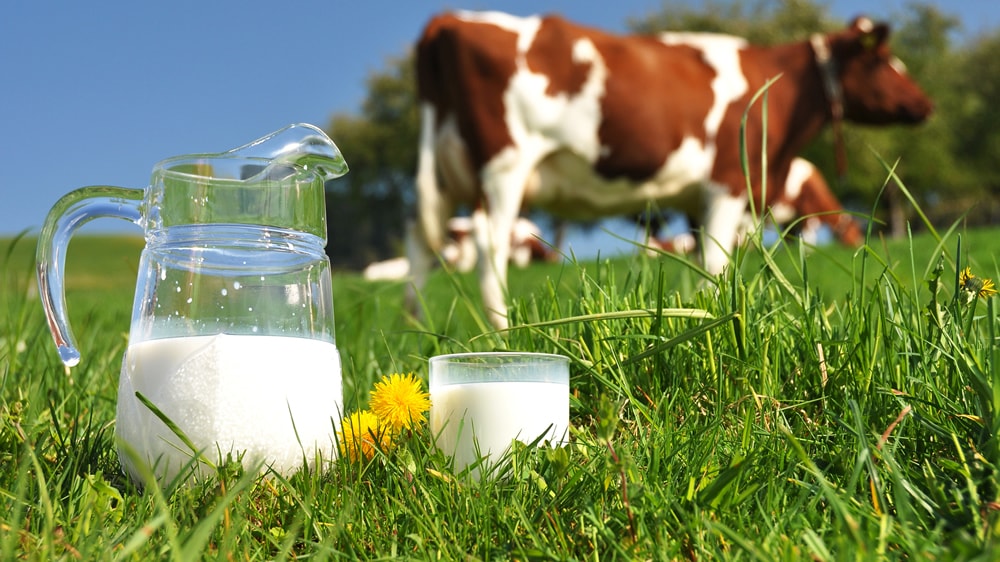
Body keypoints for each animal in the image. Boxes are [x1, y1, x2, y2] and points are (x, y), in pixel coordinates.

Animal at [410, 10, 932, 326]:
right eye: (883, 60)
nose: (925, 104)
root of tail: (448, 18)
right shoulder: (727, 182)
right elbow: (718, 261)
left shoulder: (699, 200)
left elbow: (705, 260)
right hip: (505, 167)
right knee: (488, 244)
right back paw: (503, 329)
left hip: (443, 173)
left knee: (421, 245)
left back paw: (416, 329)